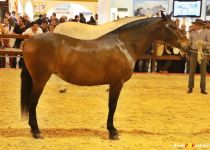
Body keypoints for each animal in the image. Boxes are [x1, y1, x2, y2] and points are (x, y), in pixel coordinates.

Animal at [20, 12, 189, 140]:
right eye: (173, 27)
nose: (187, 45)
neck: (123, 44)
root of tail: (28, 41)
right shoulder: (116, 83)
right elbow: (112, 106)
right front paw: (113, 131)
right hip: (41, 79)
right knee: (32, 102)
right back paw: (36, 131)